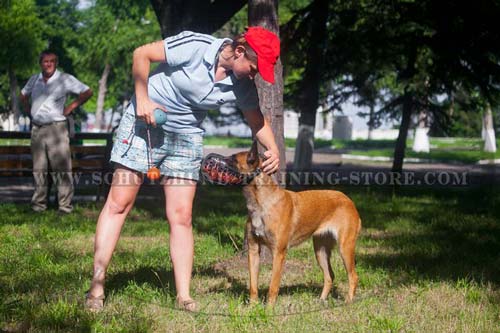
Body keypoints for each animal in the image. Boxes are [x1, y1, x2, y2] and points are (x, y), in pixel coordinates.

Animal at [201, 141, 362, 304]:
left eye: (233, 160)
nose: (206, 160)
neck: (261, 204)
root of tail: (349, 201)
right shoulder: (253, 250)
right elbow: (253, 285)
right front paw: (253, 306)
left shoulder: (278, 253)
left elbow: (273, 286)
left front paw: (269, 308)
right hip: (320, 250)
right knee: (329, 276)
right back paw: (321, 301)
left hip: (345, 248)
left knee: (353, 276)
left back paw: (348, 302)